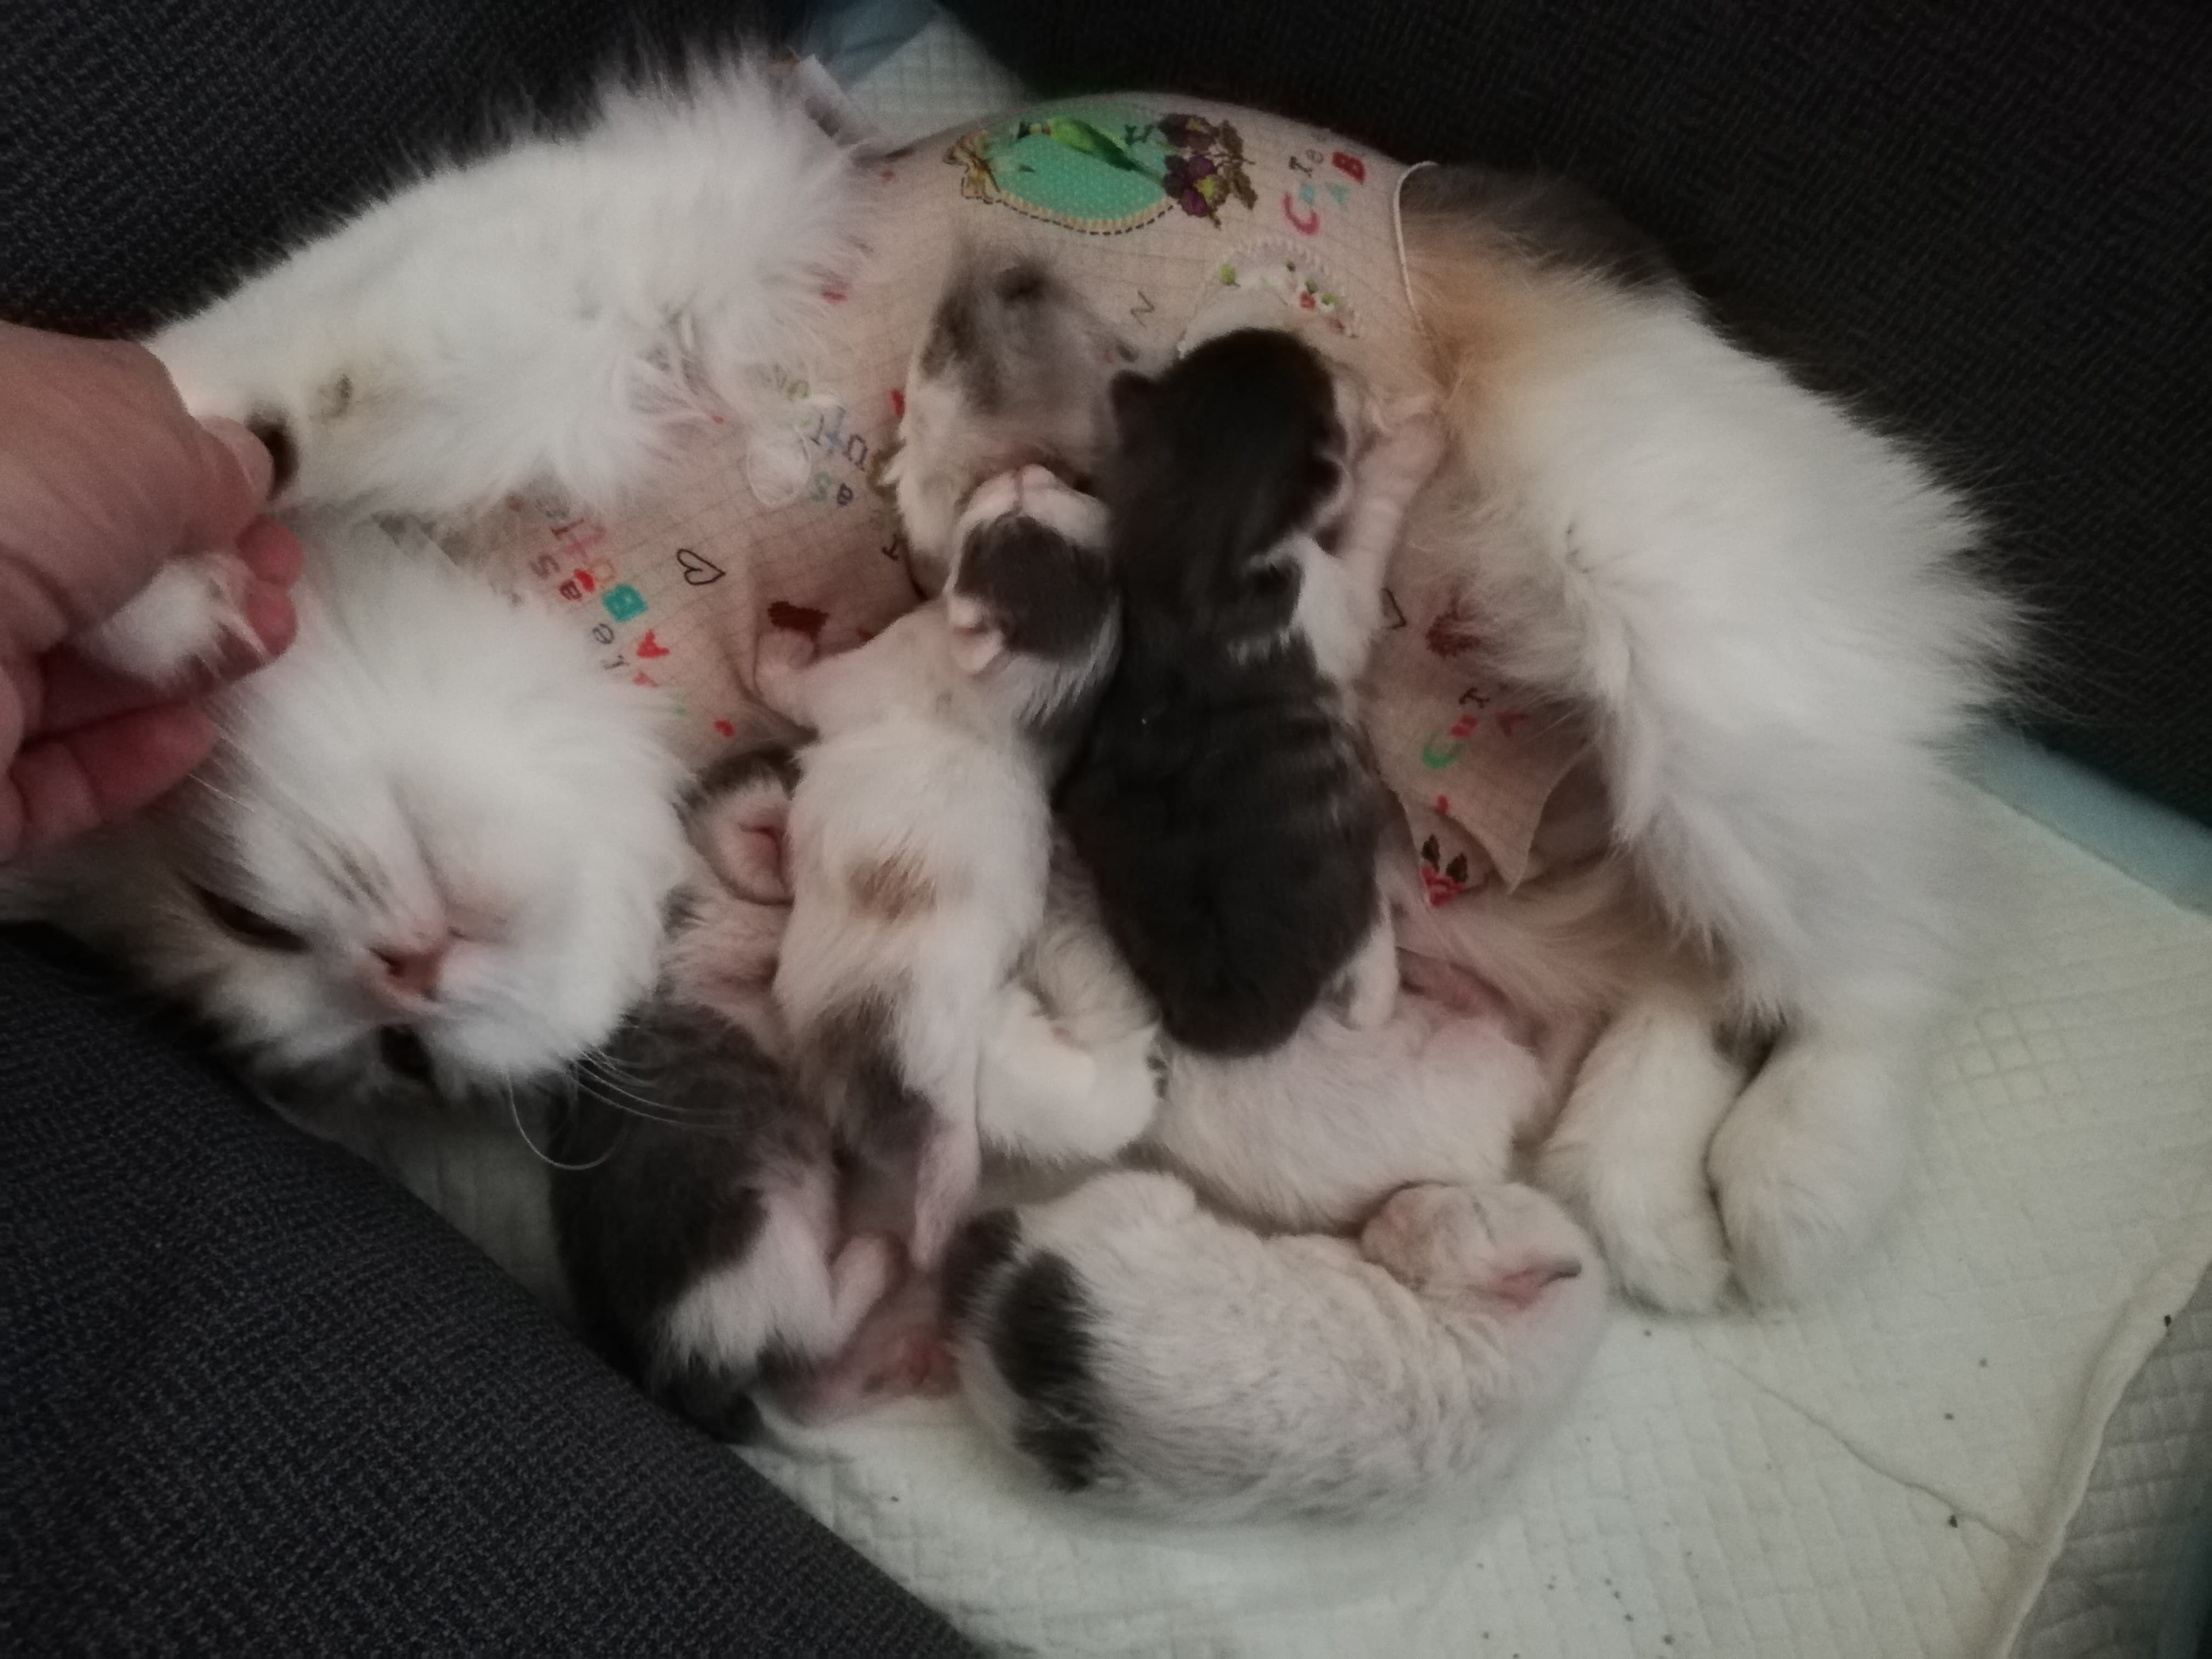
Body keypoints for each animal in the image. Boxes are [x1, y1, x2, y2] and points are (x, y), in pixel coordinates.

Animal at [757, 464, 1119, 1267]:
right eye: (1066, 492)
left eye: (1004, 525)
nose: (1022, 469)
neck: (1018, 699)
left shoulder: (857, 680)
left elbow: (791, 686)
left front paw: (774, 647)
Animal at [1058, 327, 1443, 1056]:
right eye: (1323, 377)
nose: (1334, 358)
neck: (1193, 541)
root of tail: (1225, 998)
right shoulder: (1327, 598)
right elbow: (1368, 527)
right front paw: (1411, 447)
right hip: (1353, 893)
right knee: (1369, 984)